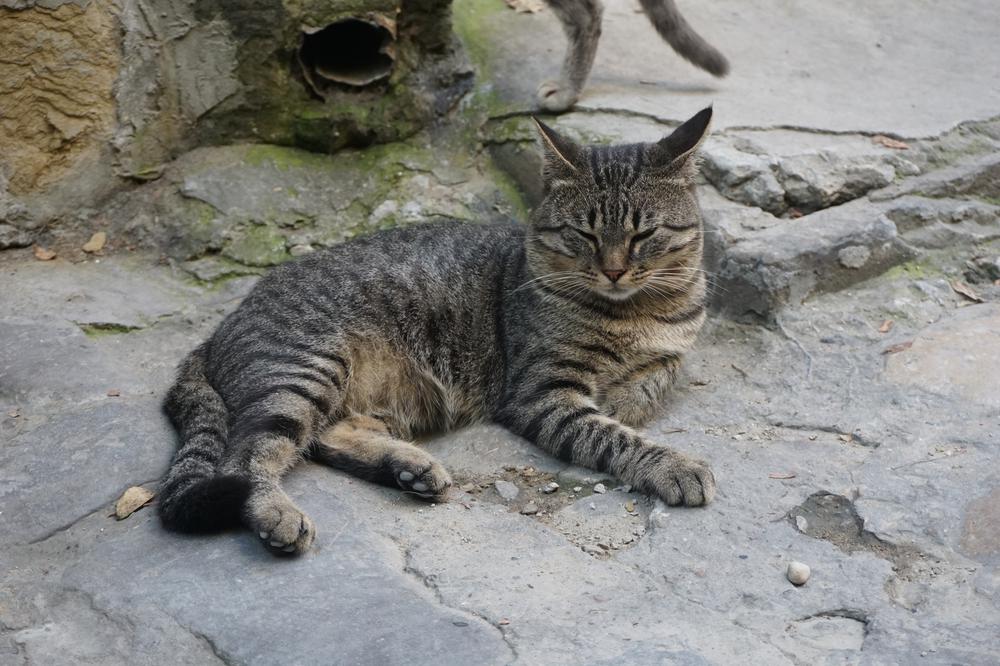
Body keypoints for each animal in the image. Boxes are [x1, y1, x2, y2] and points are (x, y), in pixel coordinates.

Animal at [160, 106, 716, 552]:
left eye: (644, 234)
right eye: (585, 233)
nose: (614, 270)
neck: (636, 311)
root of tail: (215, 333)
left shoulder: (674, 350)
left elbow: (657, 379)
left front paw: (625, 398)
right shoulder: (541, 392)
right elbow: (611, 435)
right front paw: (673, 463)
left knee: (327, 435)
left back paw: (412, 470)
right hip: (306, 368)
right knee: (247, 458)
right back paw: (278, 513)